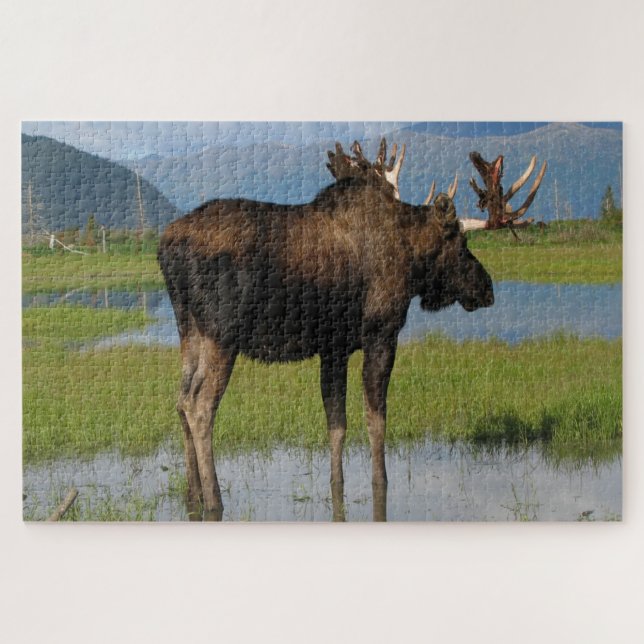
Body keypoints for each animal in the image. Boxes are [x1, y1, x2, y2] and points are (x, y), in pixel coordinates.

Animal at [158, 139, 496, 520]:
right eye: (462, 246)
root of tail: (165, 246)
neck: (411, 259)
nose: (487, 288)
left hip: (189, 329)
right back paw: (214, 498)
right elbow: (375, 419)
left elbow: (337, 424)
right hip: (222, 335)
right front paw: (381, 482)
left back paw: (193, 494)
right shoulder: (382, 334)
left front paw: (338, 486)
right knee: (200, 406)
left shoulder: (334, 348)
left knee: (181, 398)